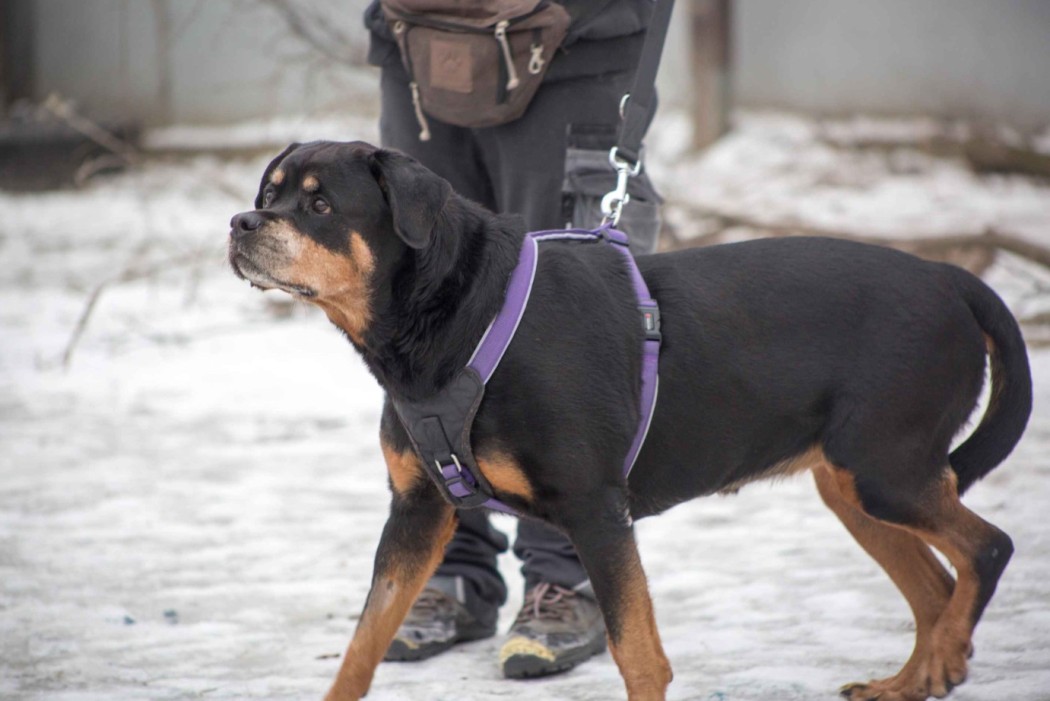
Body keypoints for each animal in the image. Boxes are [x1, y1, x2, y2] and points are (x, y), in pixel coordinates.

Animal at [228, 141, 1031, 701]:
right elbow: (365, 640)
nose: (239, 222)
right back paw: (915, 678)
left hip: (884, 469)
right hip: (852, 482)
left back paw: (945, 655)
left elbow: (637, 652)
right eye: (268, 192)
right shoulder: (419, 509)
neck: (453, 321)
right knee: (936, 588)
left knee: (988, 549)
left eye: (321, 206)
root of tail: (952, 279)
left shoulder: (595, 510)